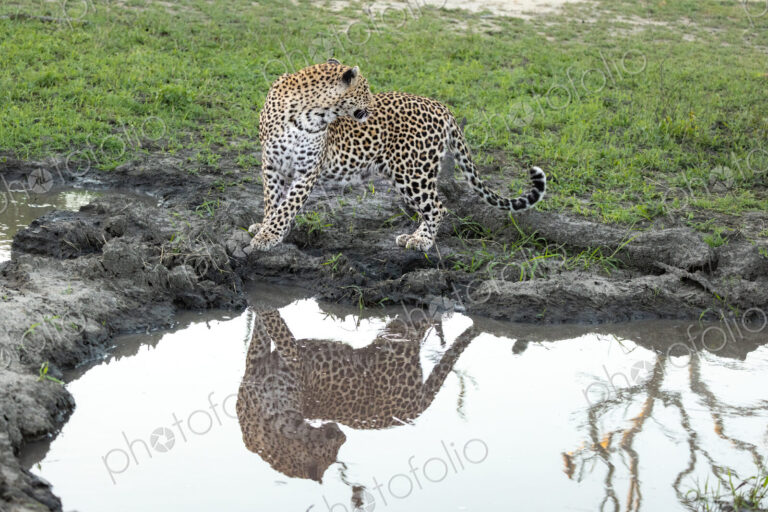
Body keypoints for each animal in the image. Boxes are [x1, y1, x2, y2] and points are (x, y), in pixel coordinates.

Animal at [236, 307, 477, 482]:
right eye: (333, 452)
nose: (343, 436)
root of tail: (412, 410)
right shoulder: (258, 360)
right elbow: (266, 326)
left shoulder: (294, 357)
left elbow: (276, 325)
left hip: (397, 347)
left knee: (419, 323)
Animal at [249, 59, 546, 252]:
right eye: (365, 90)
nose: (371, 106)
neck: (307, 114)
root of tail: (441, 106)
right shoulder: (271, 164)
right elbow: (272, 201)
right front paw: (265, 227)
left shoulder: (307, 170)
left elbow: (287, 206)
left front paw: (268, 236)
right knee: (432, 207)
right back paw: (415, 236)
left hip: (413, 173)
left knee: (437, 207)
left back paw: (421, 241)